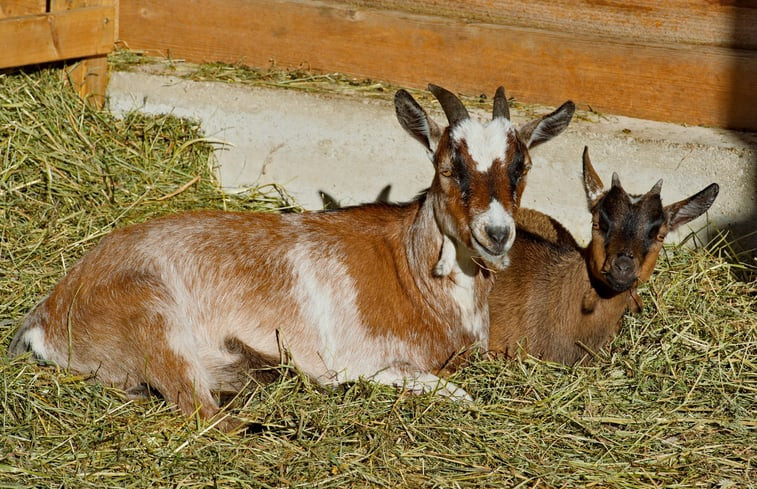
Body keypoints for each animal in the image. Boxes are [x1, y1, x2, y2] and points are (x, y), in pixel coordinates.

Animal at [7, 83, 572, 424]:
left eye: (521, 166)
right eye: (448, 166)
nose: (496, 233)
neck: (411, 272)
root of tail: (47, 315)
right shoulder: (360, 359)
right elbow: (455, 391)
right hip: (155, 322)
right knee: (204, 415)